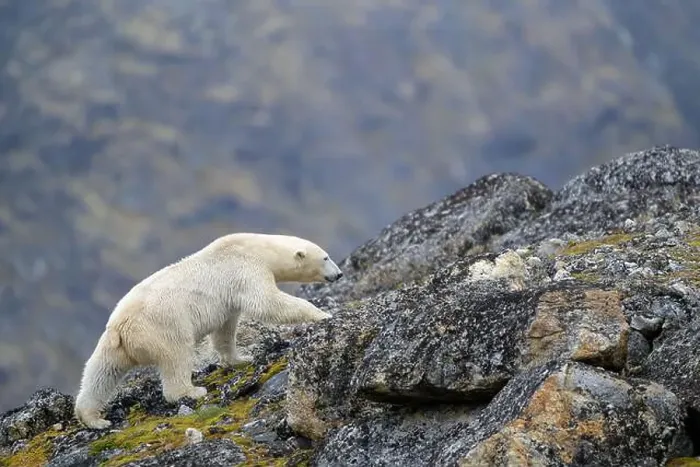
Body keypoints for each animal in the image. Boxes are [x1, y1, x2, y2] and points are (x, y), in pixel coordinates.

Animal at [73, 232, 343, 429]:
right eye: (326, 257)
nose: (339, 274)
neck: (257, 247)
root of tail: (122, 327)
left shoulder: (230, 297)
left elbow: (225, 329)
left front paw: (241, 358)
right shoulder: (246, 269)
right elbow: (266, 303)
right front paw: (322, 314)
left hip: (113, 344)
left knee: (101, 372)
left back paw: (94, 418)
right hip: (163, 326)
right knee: (177, 357)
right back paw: (192, 391)